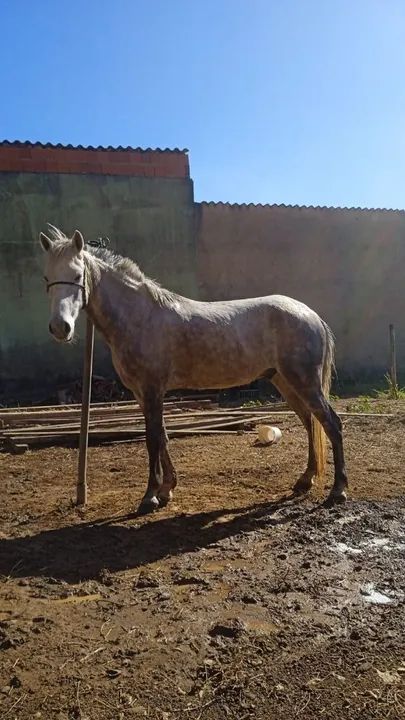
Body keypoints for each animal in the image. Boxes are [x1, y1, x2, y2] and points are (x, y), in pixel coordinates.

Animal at [39, 226, 348, 514]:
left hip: (305, 382)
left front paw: (150, 496)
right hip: (285, 382)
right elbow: (162, 435)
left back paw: (338, 490)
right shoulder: (142, 394)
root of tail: (311, 315)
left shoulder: (152, 390)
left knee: (331, 423)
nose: (60, 328)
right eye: (46, 278)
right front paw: (167, 489)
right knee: (311, 422)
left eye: (77, 276)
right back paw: (305, 480)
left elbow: (152, 439)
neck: (140, 316)